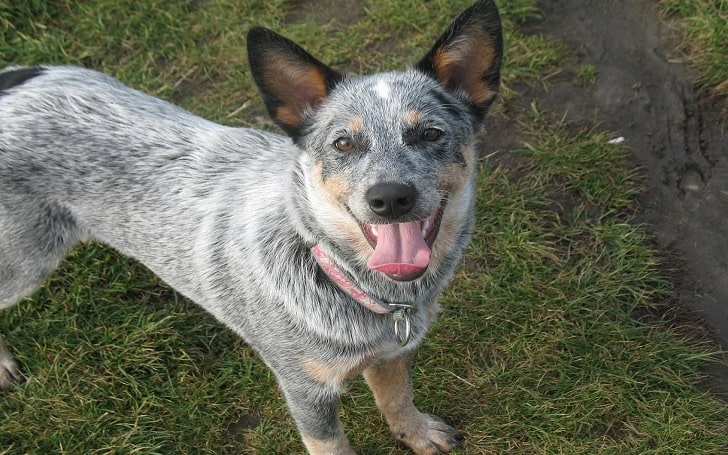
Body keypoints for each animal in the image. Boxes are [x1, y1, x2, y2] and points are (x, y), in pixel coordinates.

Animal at [0, 1, 500, 454]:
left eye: (430, 134)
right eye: (343, 143)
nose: (390, 197)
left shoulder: (394, 352)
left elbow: (397, 398)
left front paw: (415, 433)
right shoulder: (305, 389)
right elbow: (332, 444)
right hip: (25, 262)